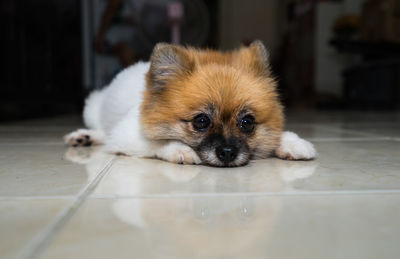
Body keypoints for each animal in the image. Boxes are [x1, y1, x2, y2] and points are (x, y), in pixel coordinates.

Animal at [65, 40, 316, 167]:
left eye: (247, 122)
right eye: (201, 121)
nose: (227, 152)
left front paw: (292, 143)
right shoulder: (125, 135)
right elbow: (157, 143)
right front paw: (179, 149)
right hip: (91, 108)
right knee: (101, 130)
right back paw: (84, 136)